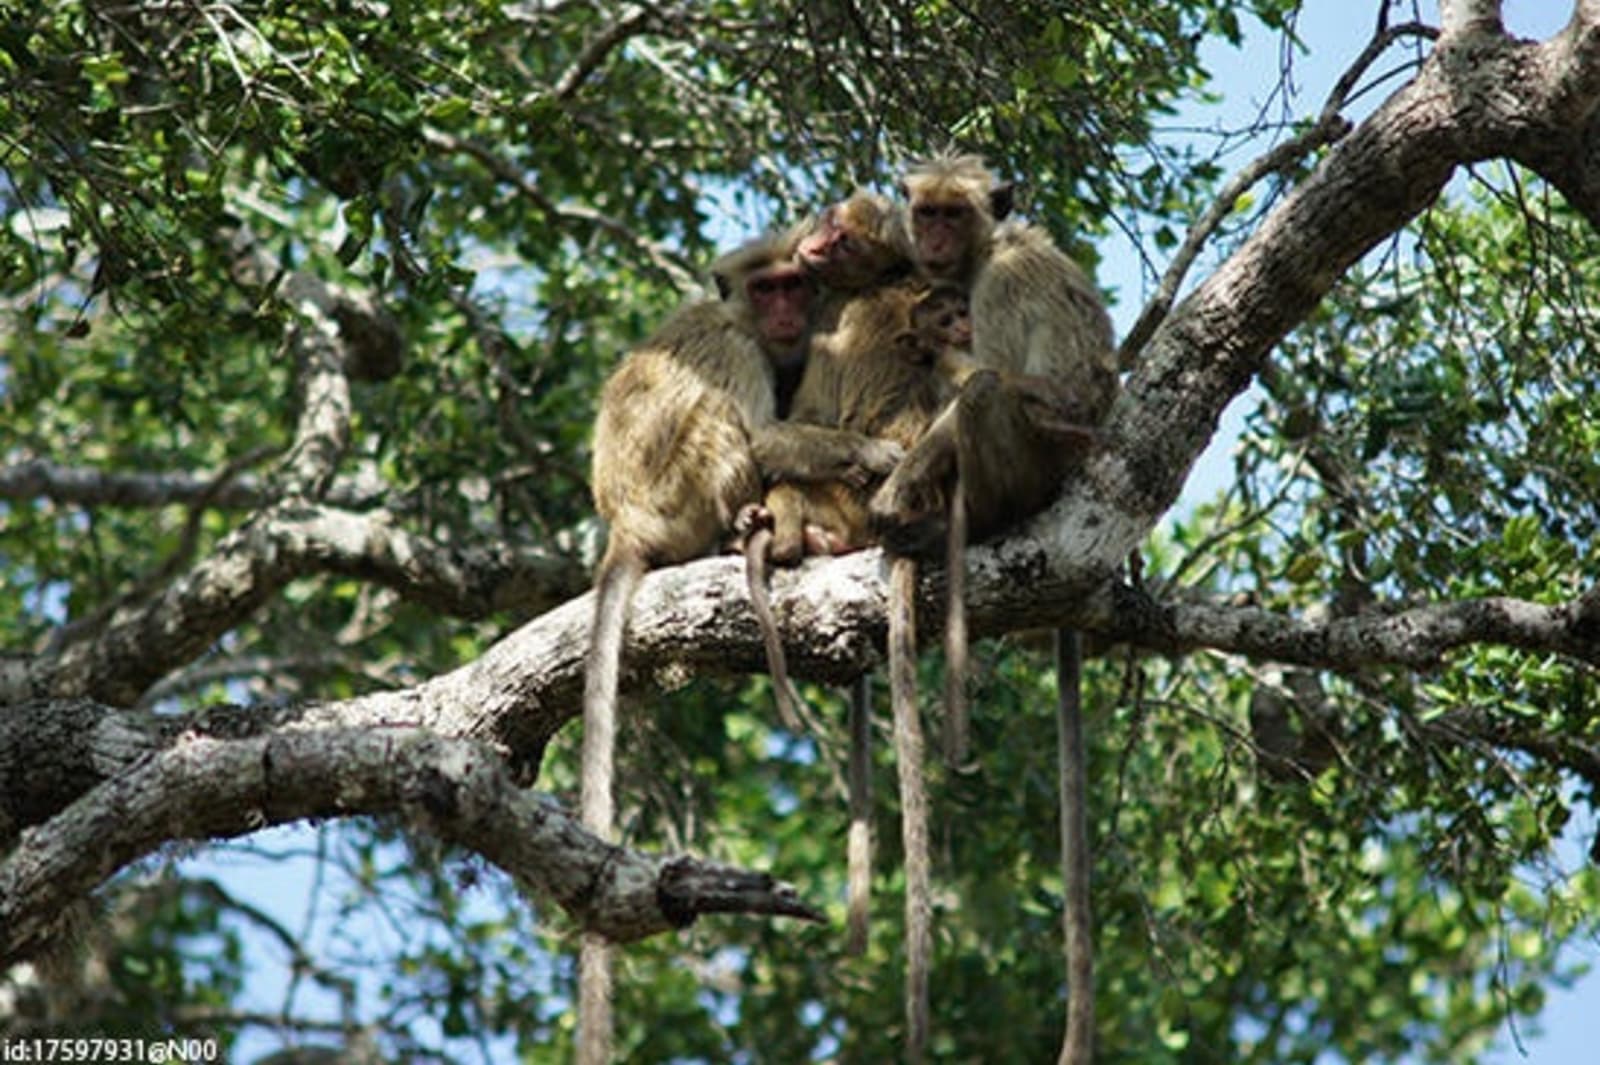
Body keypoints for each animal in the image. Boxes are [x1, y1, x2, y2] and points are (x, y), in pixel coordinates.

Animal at [579, 228, 901, 1065]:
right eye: (767, 288)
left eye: (793, 285)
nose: (787, 313)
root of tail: (628, 525)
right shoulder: (740, 347)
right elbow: (761, 433)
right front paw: (871, 453)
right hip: (685, 486)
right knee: (726, 428)